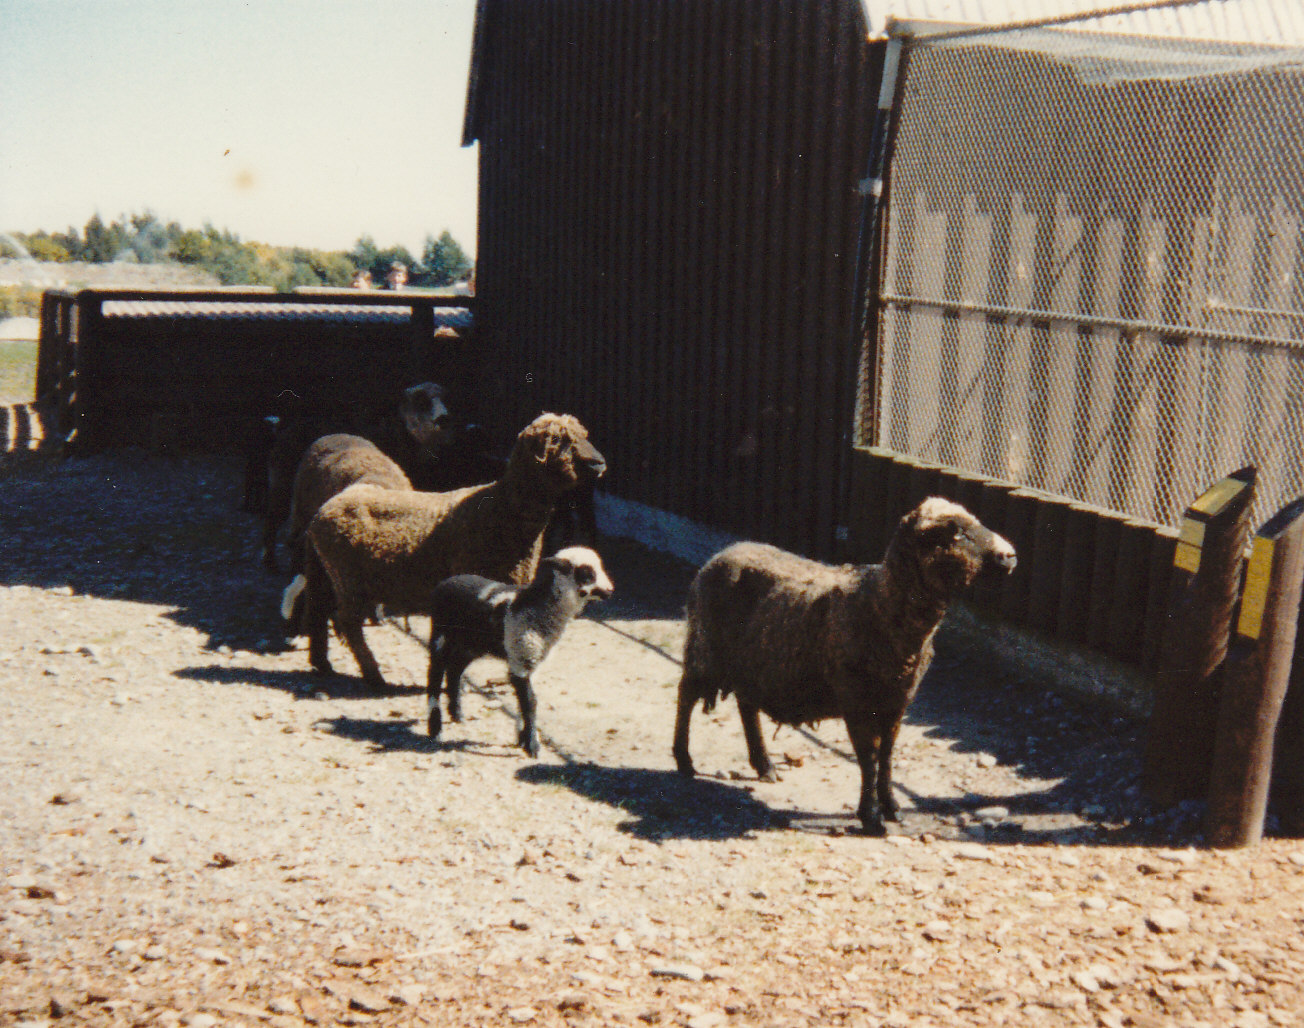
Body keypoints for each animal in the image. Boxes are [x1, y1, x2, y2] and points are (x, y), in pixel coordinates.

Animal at [302, 412, 606, 690]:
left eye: (583, 435)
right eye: (560, 440)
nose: (600, 463)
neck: (501, 508)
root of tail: (324, 509)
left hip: (329, 575)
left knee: (319, 609)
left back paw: (322, 663)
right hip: (348, 579)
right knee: (348, 622)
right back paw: (373, 675)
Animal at [426, 546, 614, 755]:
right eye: (587, 574)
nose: (610, 590)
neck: (536, 606)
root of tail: (443, 584)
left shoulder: (530, 661)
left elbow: (523, 700)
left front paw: (522, 737)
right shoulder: (521, 657)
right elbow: (530, 702)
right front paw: (532, 745)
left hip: (470, 644)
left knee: (455, 671)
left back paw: (457, 713)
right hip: (440, 636)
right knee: (435, 676)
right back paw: (435, 728)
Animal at [672, 497, 1016, 836]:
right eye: (953, 532)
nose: (1010, 555)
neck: (882, 605)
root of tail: (721, 554)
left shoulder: (897, 702)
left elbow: (887, 756)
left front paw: (892, 808)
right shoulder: (856, 701)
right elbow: (868, 758)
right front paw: (872, 817)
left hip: (753, 662)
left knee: (746, 706)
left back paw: (764, 765)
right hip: (705, 648)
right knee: (686, 696)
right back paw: (684, 760)